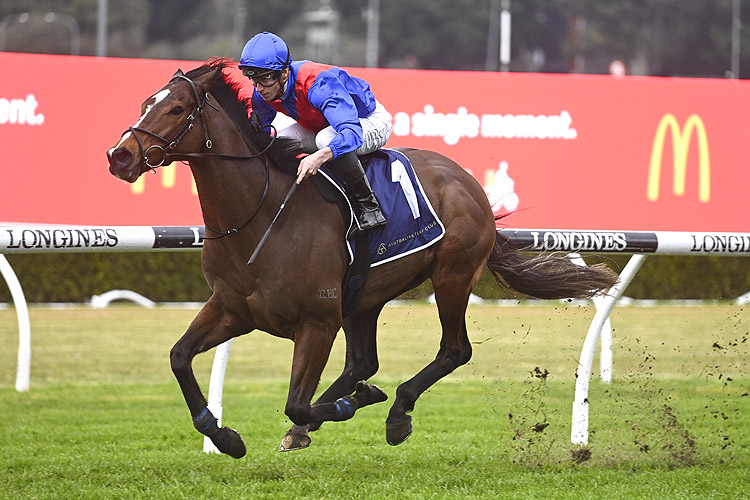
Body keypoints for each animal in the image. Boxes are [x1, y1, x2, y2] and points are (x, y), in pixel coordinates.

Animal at [107, 57, 624, 458]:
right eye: (145, 102)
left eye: (176, 108)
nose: (119, 156)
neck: (260, 215)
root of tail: (468, 181)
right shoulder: (233, 308)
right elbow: (179, 357)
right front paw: (225, 437)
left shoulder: (317, 321)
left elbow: (296, 401)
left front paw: (347, 406)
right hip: (365, 297)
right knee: (362, 362)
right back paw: (321, 421)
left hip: (451, 275)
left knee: (453, 350)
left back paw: (394, 411)